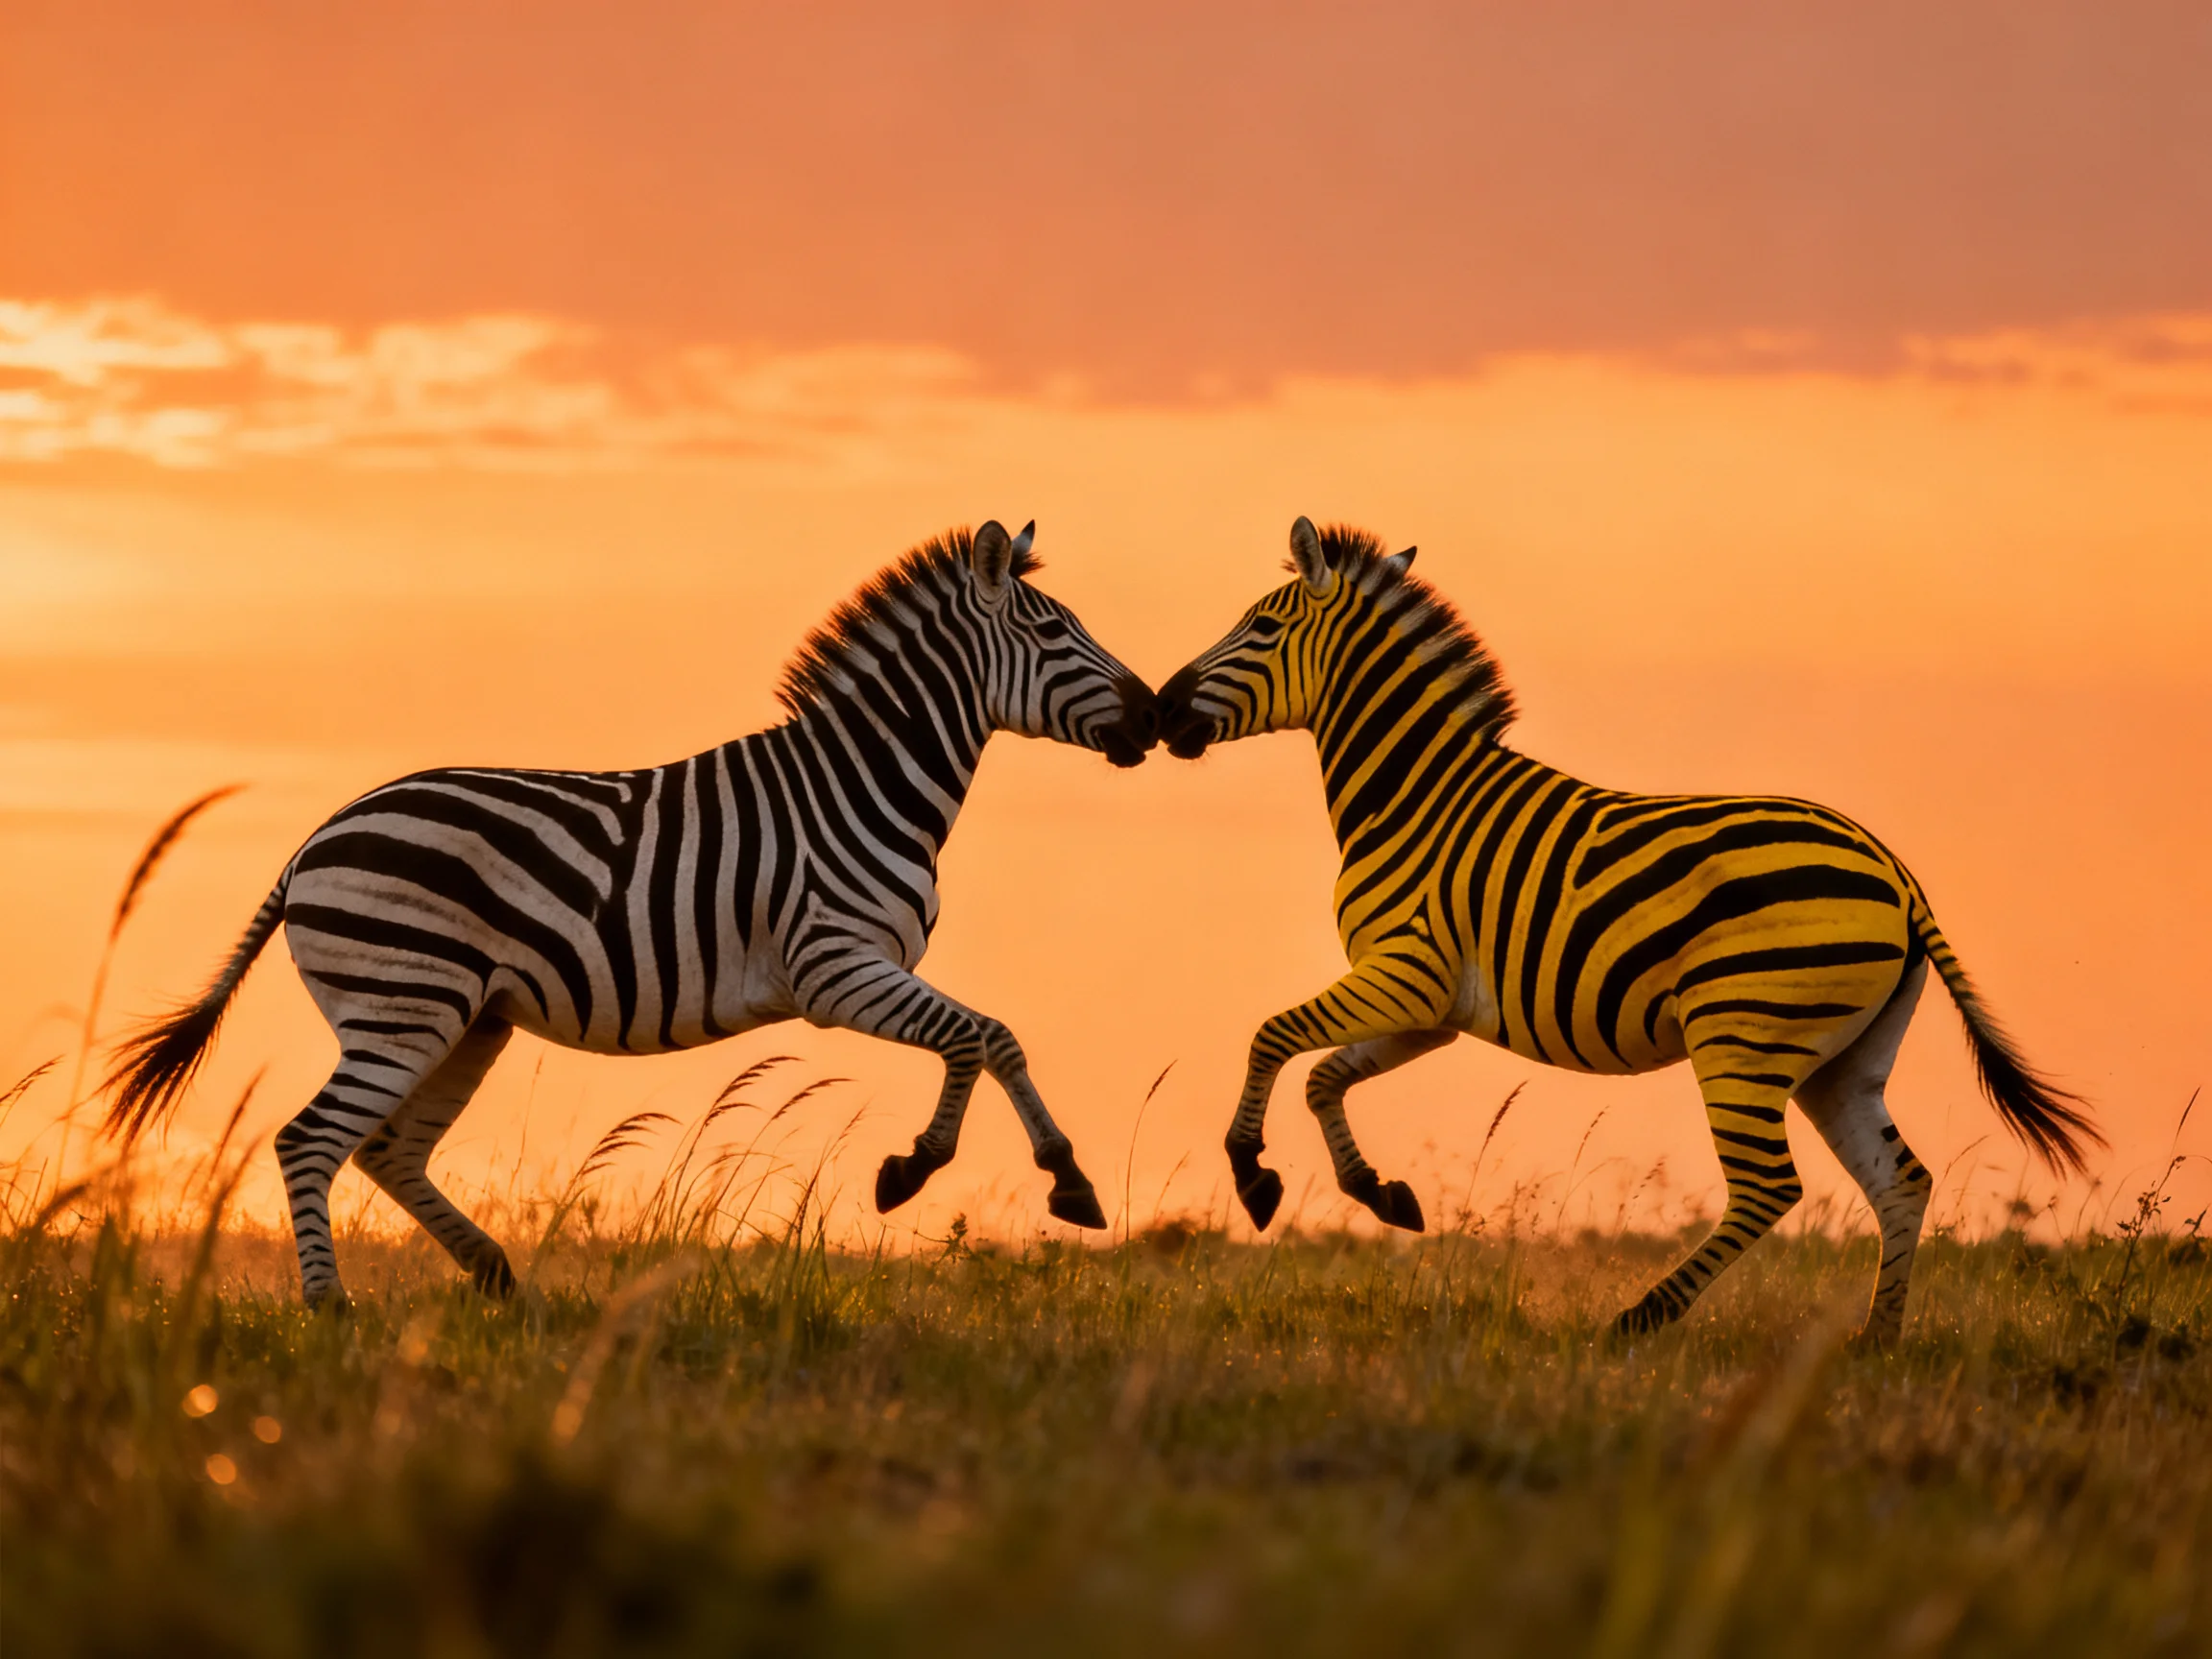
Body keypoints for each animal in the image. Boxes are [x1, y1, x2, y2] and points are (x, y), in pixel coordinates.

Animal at [106, 521, 1157, 1307]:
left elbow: (980, 1042)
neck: (859, 786)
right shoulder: (835, 968)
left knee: (387, 1150)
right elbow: (987, 1037)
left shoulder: (873, 969)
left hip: (465, 1020)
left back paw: (498, 1279)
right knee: (312, 1140)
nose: (1157, 717)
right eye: (1055, 635)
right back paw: (334, 1314)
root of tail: (312, 844)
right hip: (404, 1006)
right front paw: (998, 1174)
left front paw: (978, 1172)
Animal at [1154, 517, 2097, 1345]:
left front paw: (1253, 1174)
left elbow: (1273, 1038)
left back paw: (1641, 1319)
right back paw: (1876, 1342)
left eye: (1261, 627)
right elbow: (1325, 1080)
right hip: (1843, 1059)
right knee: (1900, 1181)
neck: (1418, 796)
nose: (1160, 710)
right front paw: (1382, 1193)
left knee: (1770, 1187)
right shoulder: (1431, 1009)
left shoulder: (1406, 972)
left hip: (1742, 1033)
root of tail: (1898, 876)